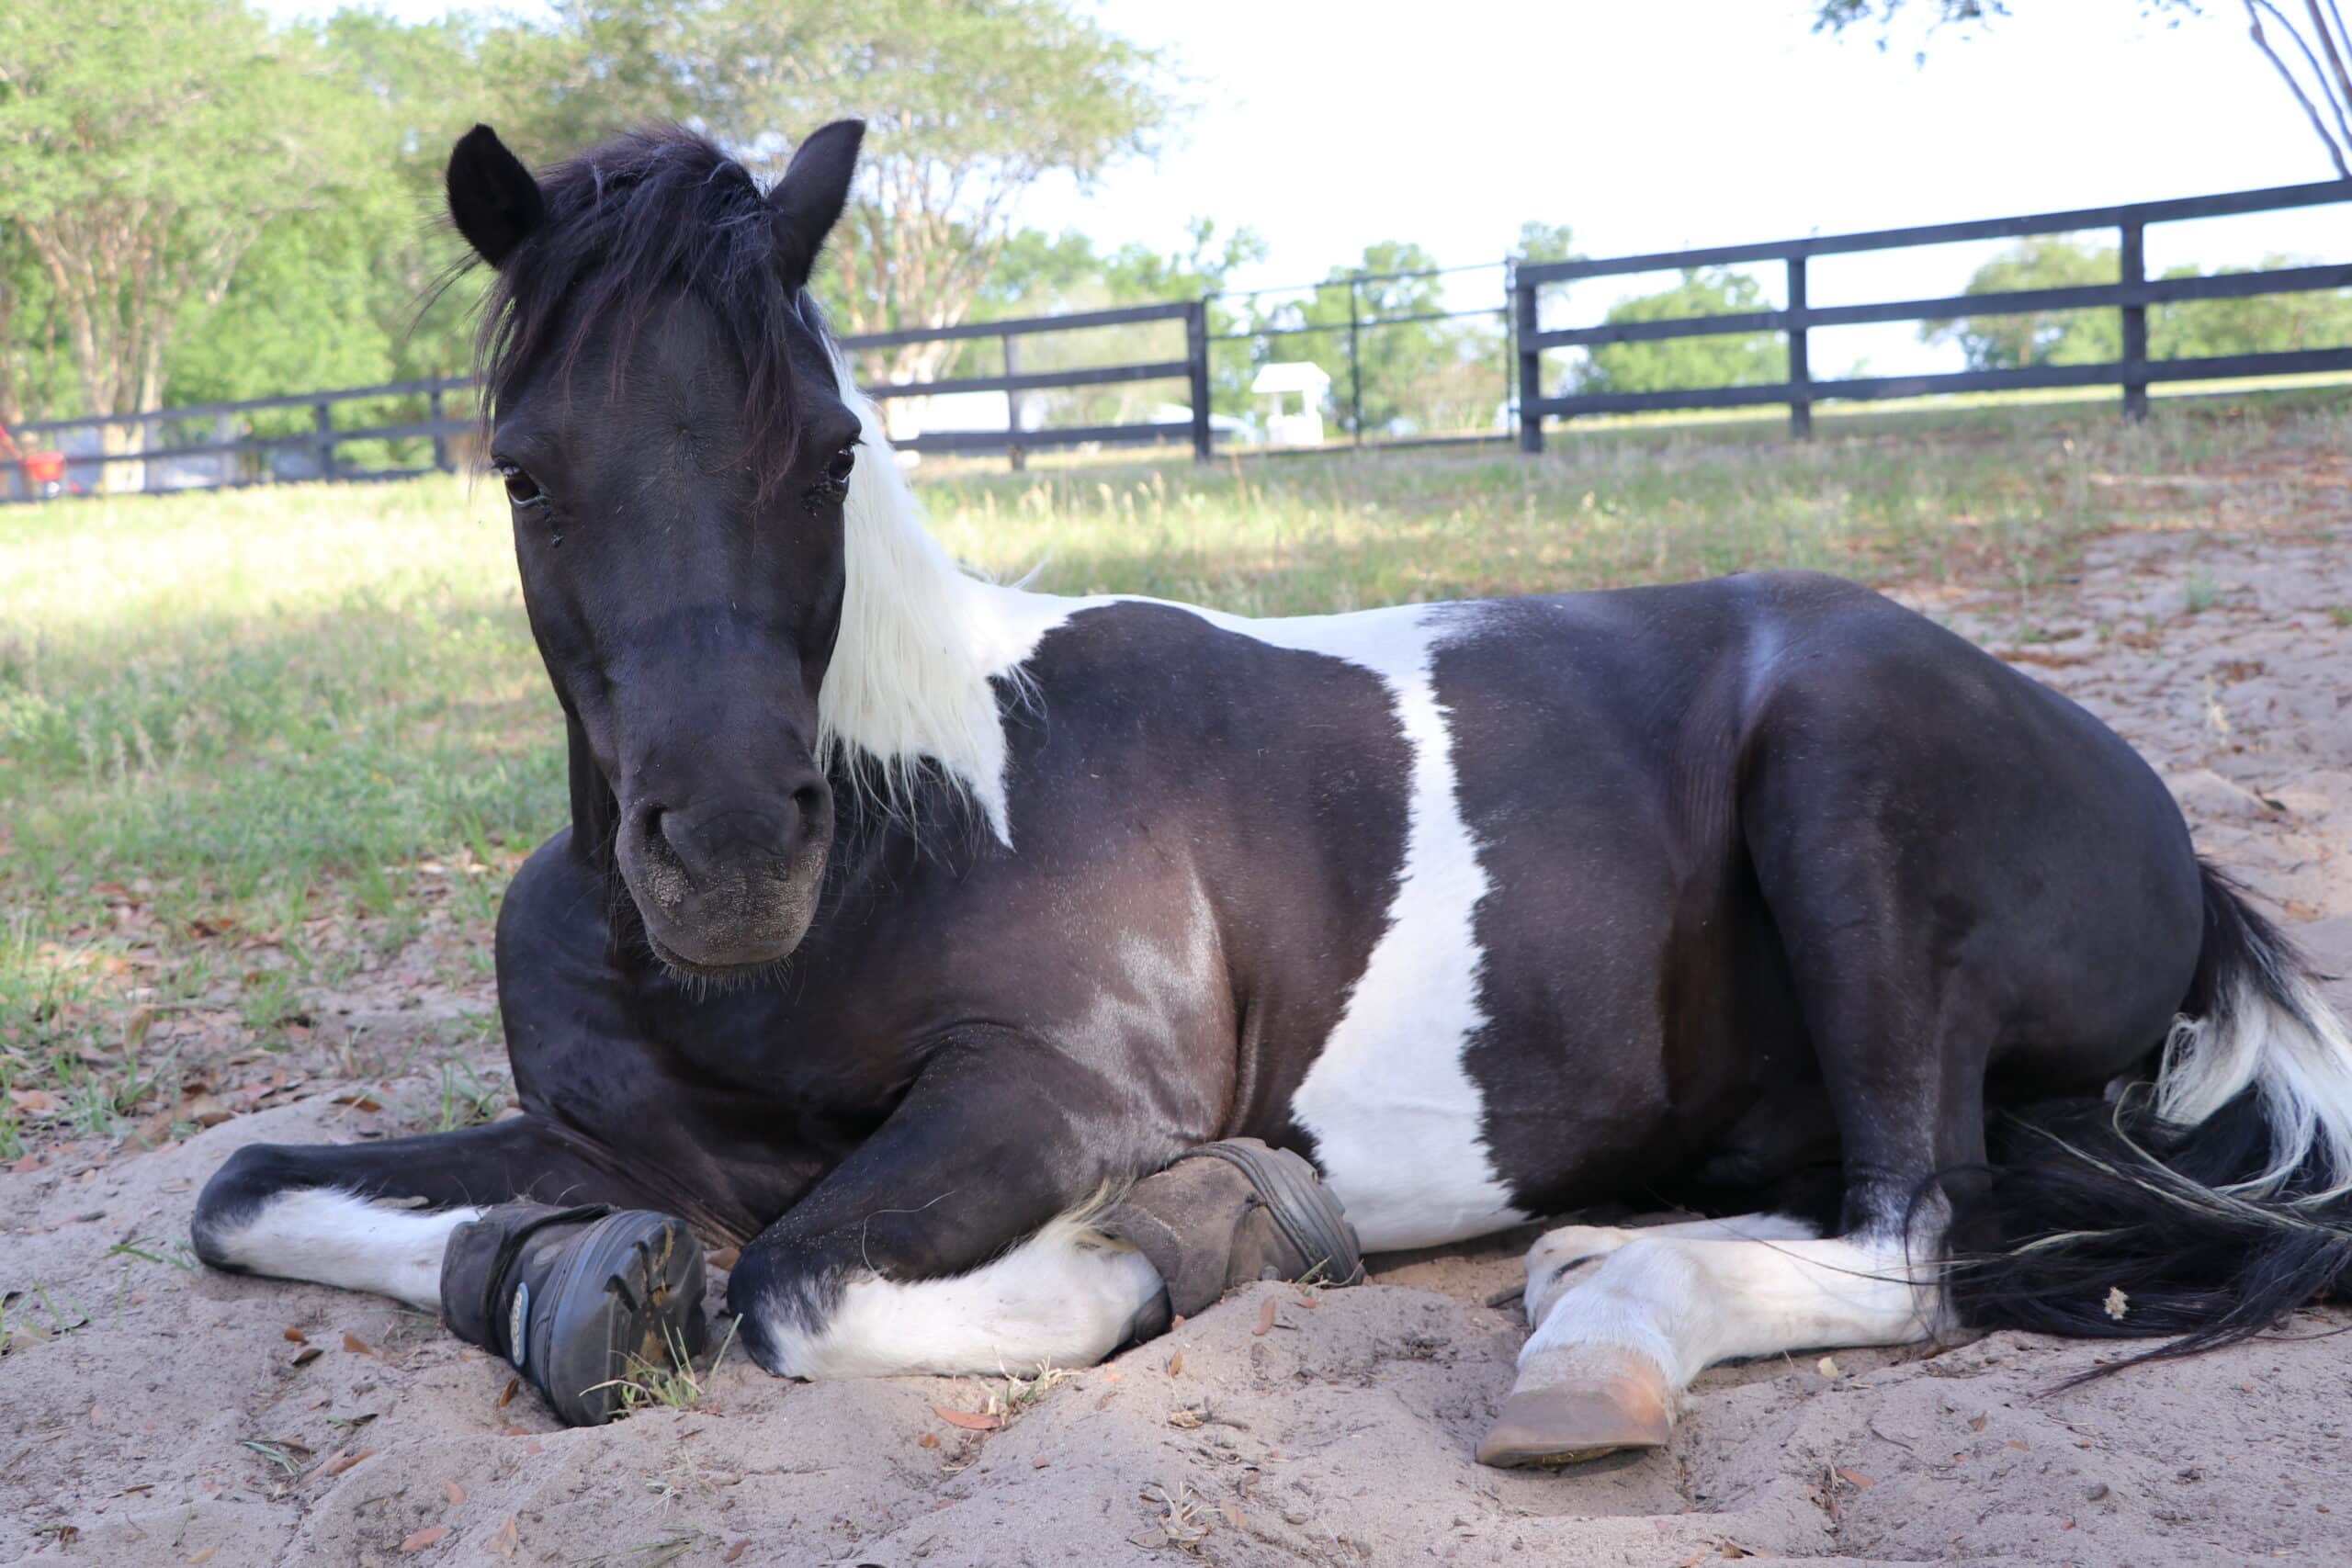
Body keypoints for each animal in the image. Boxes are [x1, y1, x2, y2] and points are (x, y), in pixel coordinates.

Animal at [192, 119, 2352, 1467]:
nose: (729, 853)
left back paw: (1594, 1324)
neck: (904, 827)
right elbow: (242, 1194)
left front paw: (1175, 1243)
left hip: (1842, 786)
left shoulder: (1058, 1095)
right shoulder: (602, 1130)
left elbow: (795, 1283)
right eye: (523, 467)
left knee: (1911, 1243)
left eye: (825, 449)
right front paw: (545, 1280)